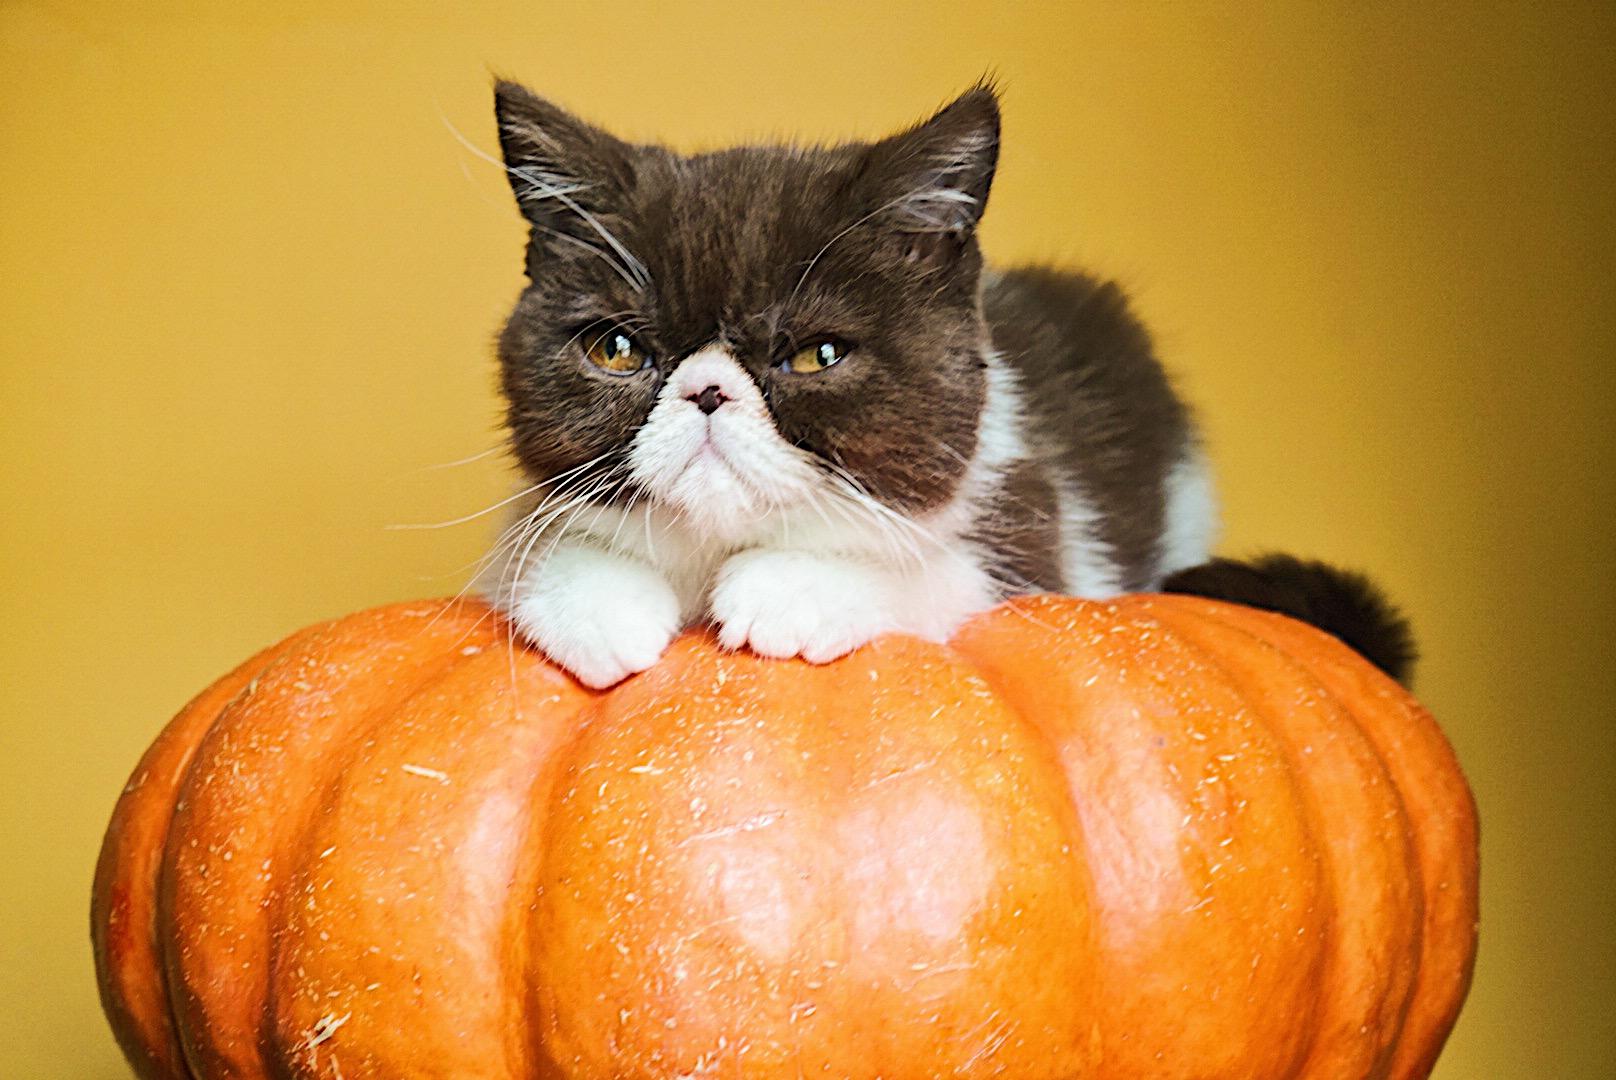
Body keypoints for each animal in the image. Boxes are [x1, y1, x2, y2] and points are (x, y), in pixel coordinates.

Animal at [478, 82, 1415, 691]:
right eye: (619, 349)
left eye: (818, 355)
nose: (707, 392)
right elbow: (530, 546)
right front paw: (600, 606)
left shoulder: (1034, 515)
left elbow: (952, 569)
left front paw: (791, 591)